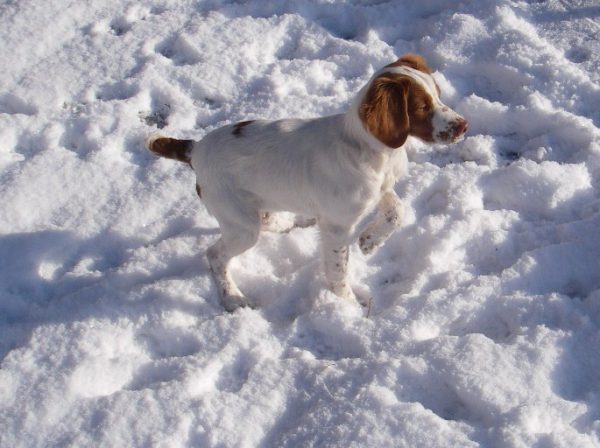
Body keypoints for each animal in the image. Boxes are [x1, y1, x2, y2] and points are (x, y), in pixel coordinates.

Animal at [146, 53, 468, 312]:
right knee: (215, 255)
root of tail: (195, 148)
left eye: (438, 95)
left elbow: (397, 211)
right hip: (240, 224)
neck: (369, 148)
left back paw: (284, 222)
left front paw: (369, 241)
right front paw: (348, 305)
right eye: (422, 107)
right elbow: (339, 270)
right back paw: (233, 297)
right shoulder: (337, 225)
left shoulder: (379, 189)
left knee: (262, 220)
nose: (463, 126)